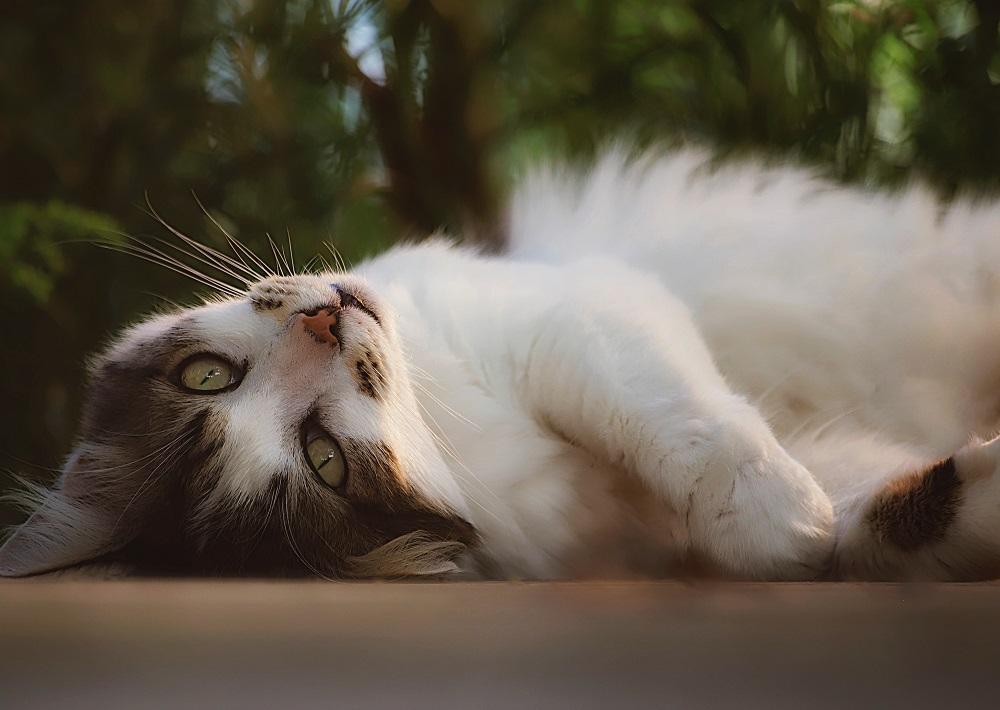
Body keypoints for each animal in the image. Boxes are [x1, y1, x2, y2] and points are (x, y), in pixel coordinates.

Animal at [1, 146, 1000, 584]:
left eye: (205, 374)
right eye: (326, 461)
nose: (327, 321)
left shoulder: (568, 315)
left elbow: (664, 411)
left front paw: (770, 503)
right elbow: (871, 516)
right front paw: (791, 524)